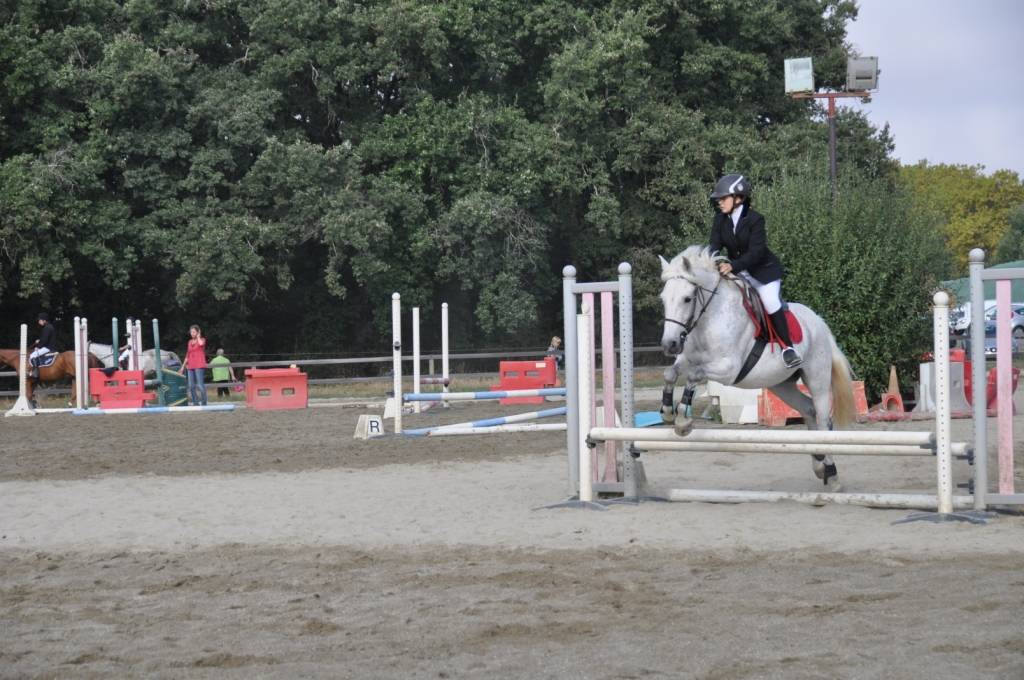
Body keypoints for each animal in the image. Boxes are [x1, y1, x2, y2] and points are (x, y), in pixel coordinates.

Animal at [658, 246, 856, 489]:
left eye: (687, 299)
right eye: (663, 299)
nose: (670, 344)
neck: (709, 318)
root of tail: (820, 322)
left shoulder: (728, 368)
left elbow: (694, 375)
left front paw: (683, 420)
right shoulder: (688, 358)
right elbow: (670, 373)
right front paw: (668, 412)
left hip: (817, 377)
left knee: (822, 418)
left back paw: (831, 472)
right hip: (781, 384)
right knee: (808, 410)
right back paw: (819, 464)